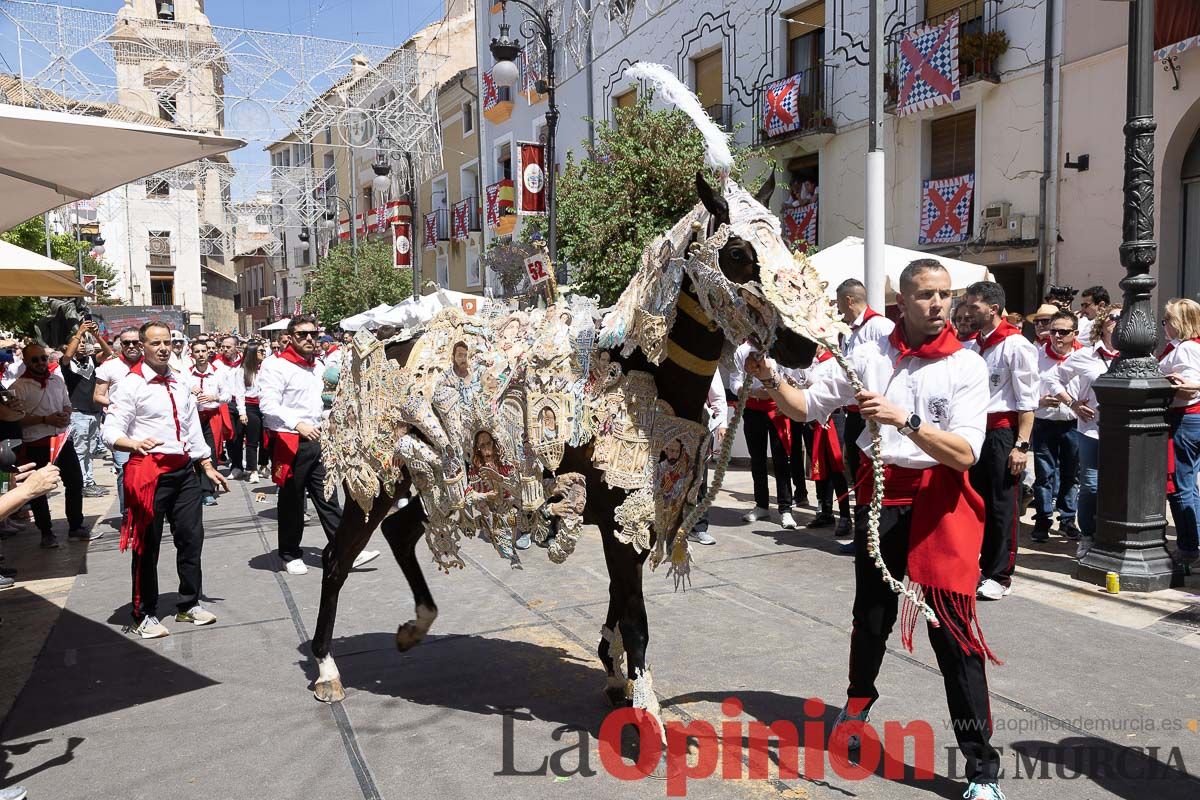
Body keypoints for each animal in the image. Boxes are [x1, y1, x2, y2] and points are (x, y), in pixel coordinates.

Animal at [304, 62, 912, 738]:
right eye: (736, 253)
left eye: (784, 237)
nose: (805, 344)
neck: (640, 378)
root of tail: (371, 348)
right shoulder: (623, 518)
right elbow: (636, 616)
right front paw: (644, 710)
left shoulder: (632, 517)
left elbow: (624, 608)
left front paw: (616, 674)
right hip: (379, 477)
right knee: (337, 560)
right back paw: (327, 668)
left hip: (438, 476)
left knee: (404, 531)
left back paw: (416, 625)